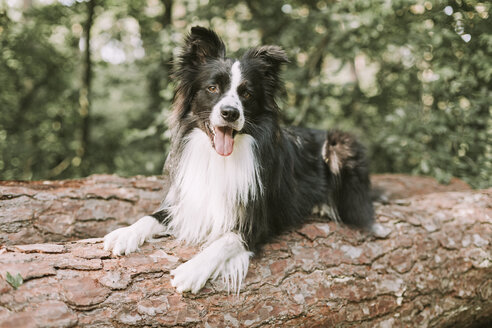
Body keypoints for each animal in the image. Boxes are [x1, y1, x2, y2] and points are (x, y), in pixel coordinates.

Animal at [104, 26, 372, 294]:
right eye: (212, 88)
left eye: (247, 93)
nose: (230, 113)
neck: (219, 157)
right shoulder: (191, 201)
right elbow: (153, 215)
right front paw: (124, 234)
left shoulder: (258, 222)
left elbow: (224, 241)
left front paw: (193, 270)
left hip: (338, 145)